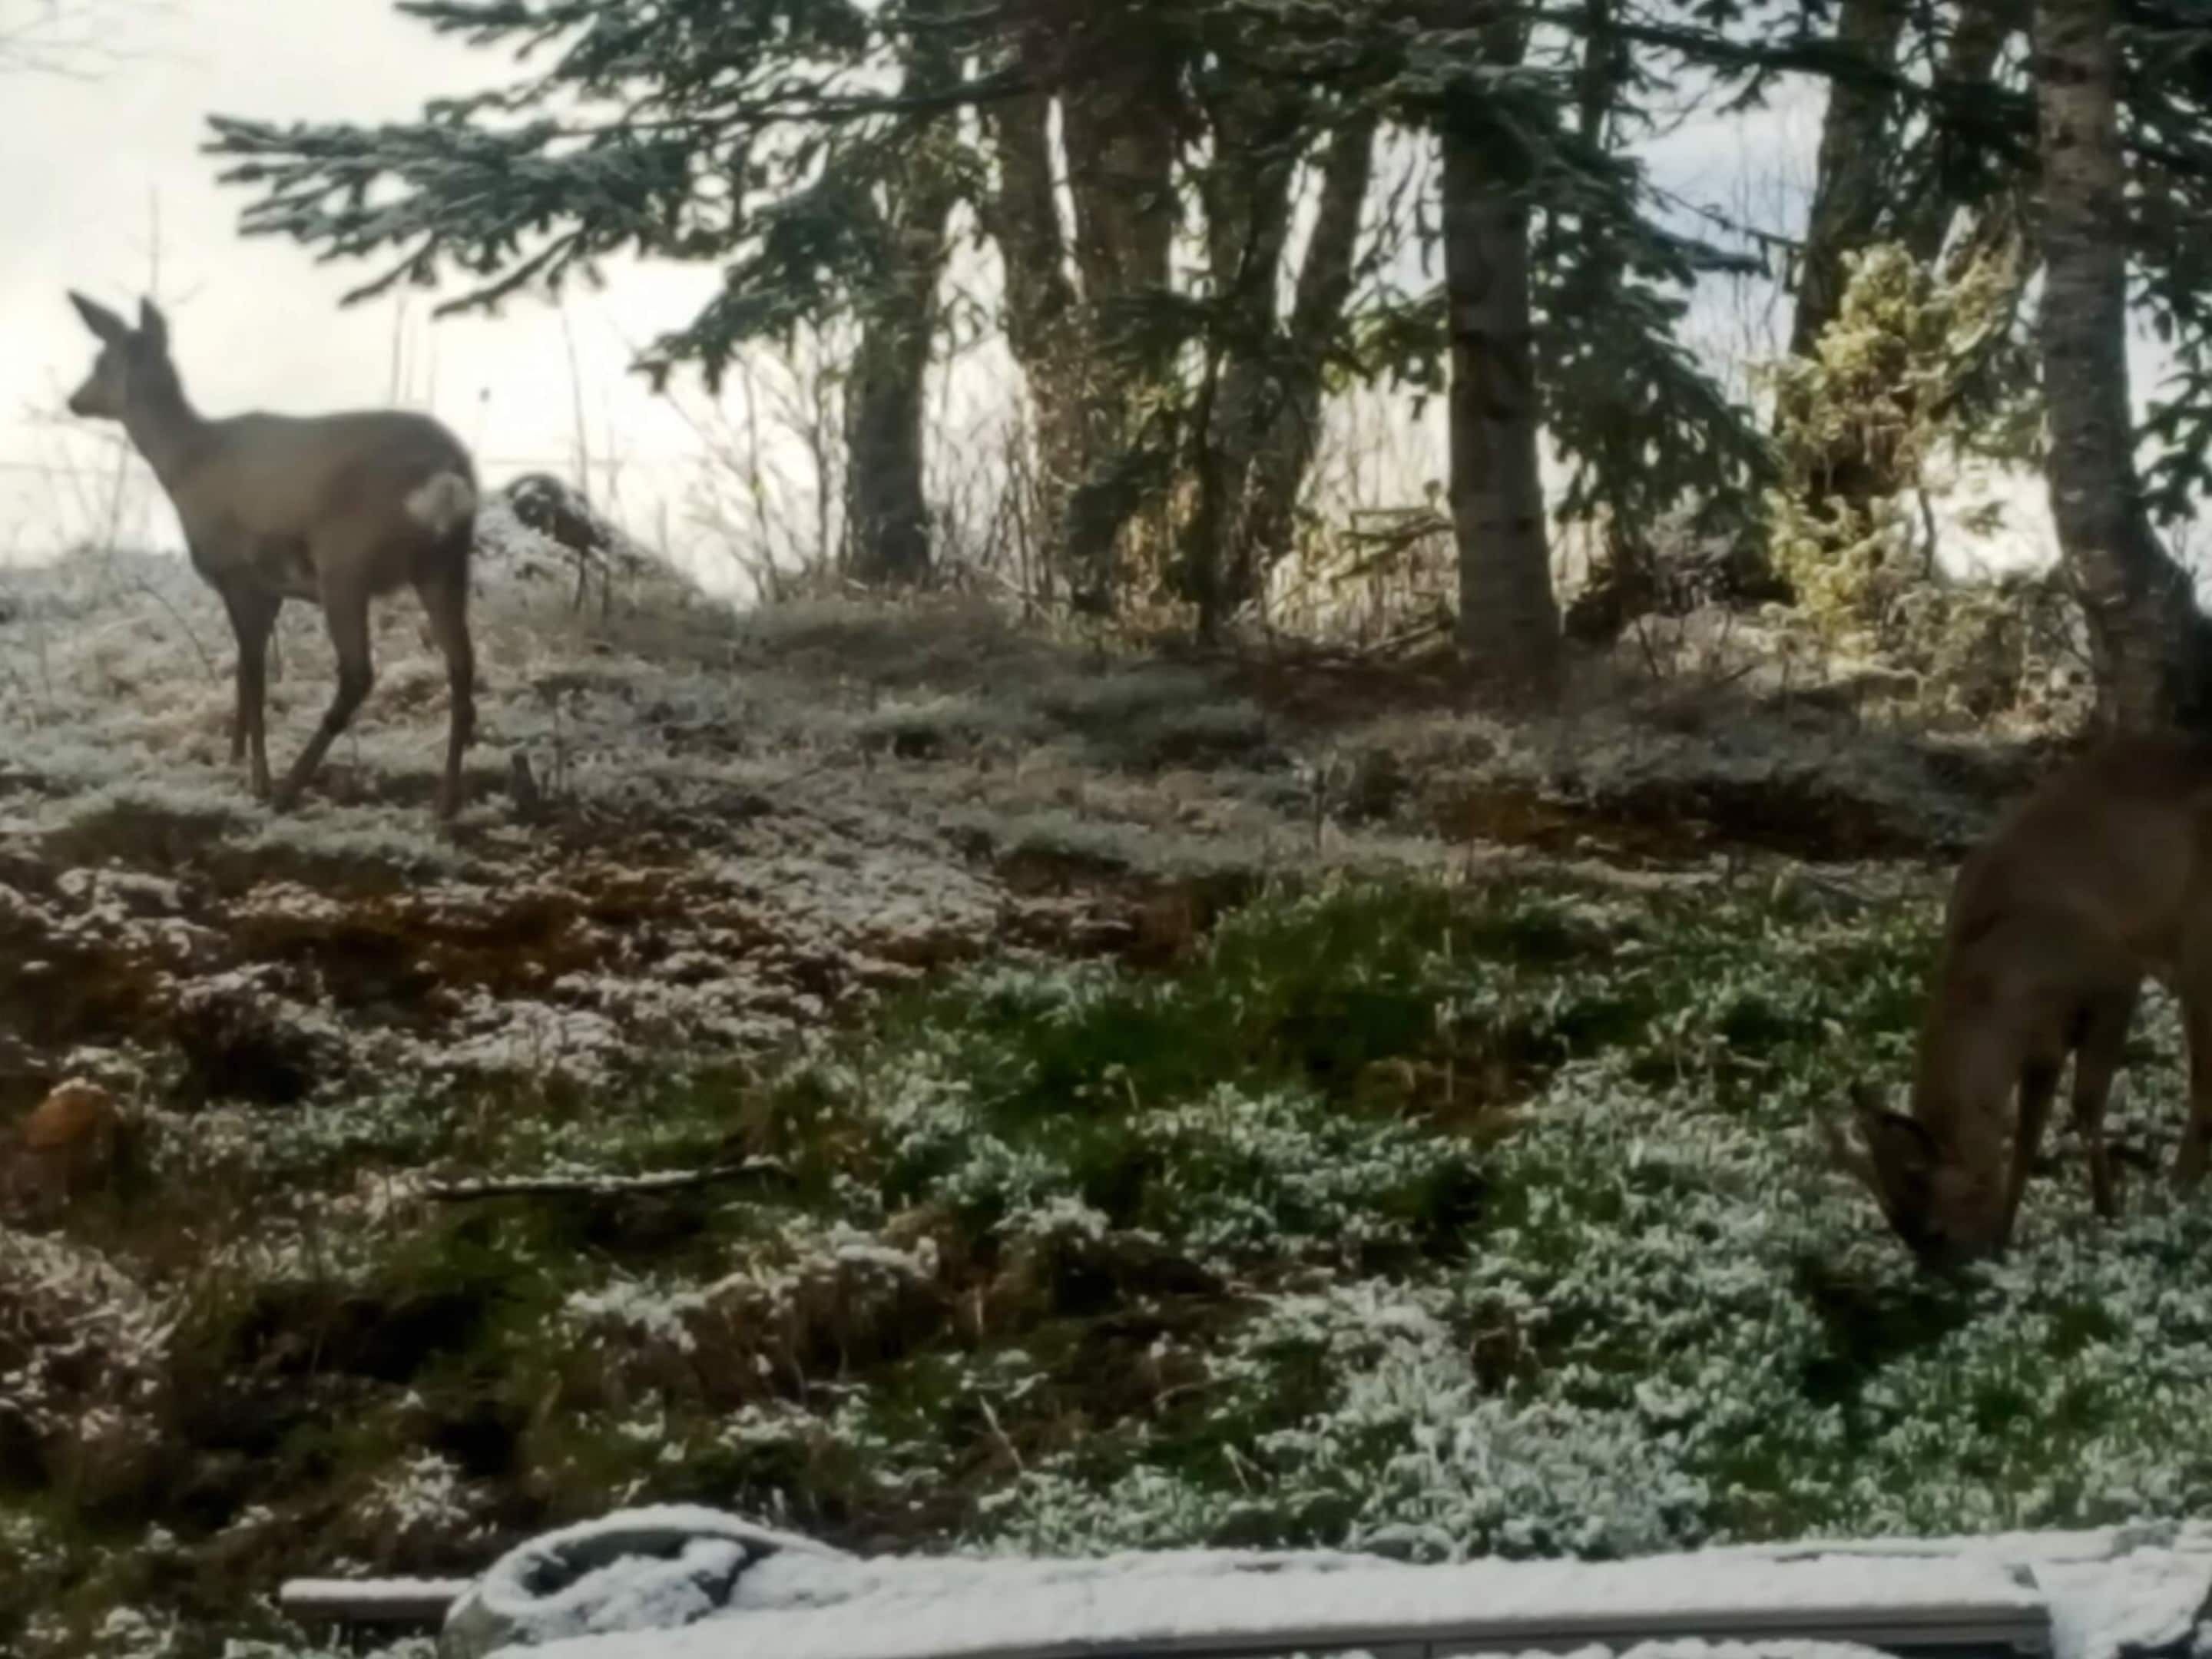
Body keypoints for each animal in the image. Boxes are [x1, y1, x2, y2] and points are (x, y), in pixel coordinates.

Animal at [64, 291, 479, 819]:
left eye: (101, 363)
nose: (74, 400)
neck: (187, 464)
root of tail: (447, 474)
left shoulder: (239, 572)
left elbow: (255, 675)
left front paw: (257, 778)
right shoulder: (270, 589)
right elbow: (244, 672)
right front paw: (235, 758)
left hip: (346, 560)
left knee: (359, 673)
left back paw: (288, 789)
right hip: (445, 562)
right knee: (462, 665)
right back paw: (446, 801)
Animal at [1825, 733, 2212, 1270]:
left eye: (1936, 1231)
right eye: (1905, 1235)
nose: (1964, 1270)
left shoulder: (2115, 978)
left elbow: (2085, 1108)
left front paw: (2108, 1211)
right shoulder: (2043, 1044)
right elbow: (2028, 1136)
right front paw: (2011, 1231)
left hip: (2199, 941)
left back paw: (2178, 1189)